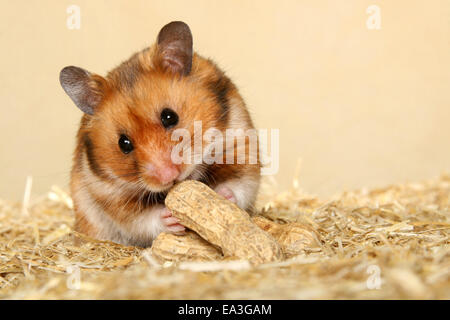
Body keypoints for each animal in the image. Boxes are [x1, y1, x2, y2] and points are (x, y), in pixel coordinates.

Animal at [61, 21, 262, 248]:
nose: (169, 176)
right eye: (124, 143)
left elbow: (240, 183)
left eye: (169, 117)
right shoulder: (112, 196)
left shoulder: (240, 143)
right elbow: (143, 219)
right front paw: (171, 218)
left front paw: (221, 197)